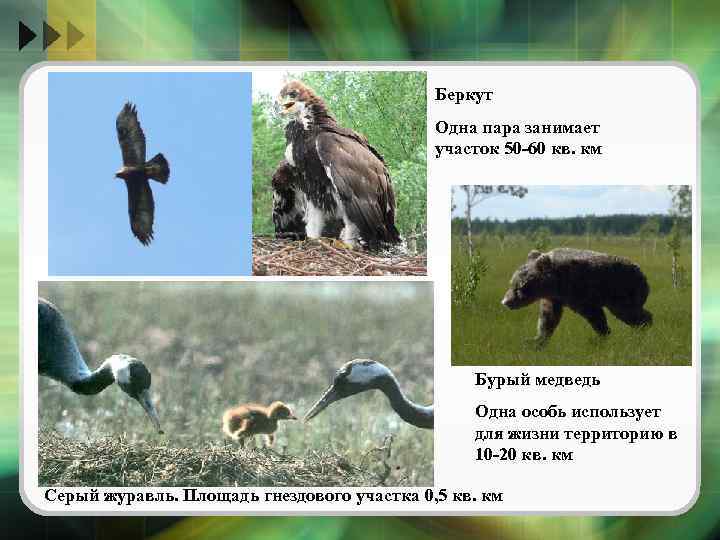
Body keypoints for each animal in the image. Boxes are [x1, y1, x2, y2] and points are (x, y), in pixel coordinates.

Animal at [501, 248, 652, 347]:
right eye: (512, 283)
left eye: (521, 286)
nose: (506, 302)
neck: (554, 283)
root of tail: (643, 274)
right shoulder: (553, 298)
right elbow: (548, 318)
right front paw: (536, 340)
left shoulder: (579, 290)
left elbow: (594, 314)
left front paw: (602, 335)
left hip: (622, 289)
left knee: (629, 312)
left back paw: (643, 329)